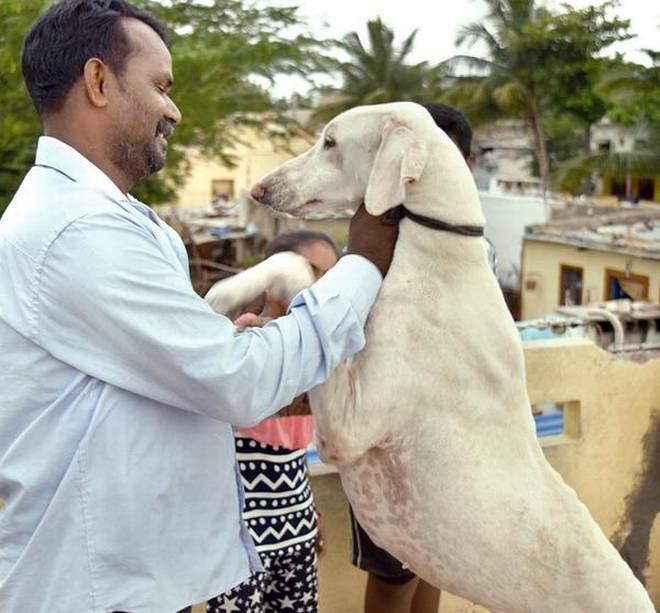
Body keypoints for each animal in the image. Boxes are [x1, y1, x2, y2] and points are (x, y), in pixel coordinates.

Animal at [224, 103, 652, 608]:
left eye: (329, 142)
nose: (258, 189)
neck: (433, 252)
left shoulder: (348, 426)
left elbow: (301, 276)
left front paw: (225, 291)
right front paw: (232, 296)